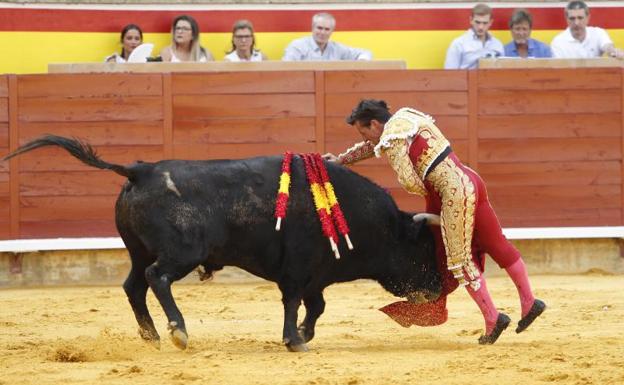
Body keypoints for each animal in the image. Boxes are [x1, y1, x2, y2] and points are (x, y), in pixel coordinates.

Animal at [6, 135, 444, 352]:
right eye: (423, 251)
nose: (439, 288)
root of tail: (141, 171)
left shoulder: (316, 274)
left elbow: (316, 306)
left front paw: (304, 335)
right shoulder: (298, 270)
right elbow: (294, 302)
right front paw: (294, 341)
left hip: (136, 249)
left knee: (134, 285)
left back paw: (152, 336)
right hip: (181, 253)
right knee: (156, 278)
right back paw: (178, 332)